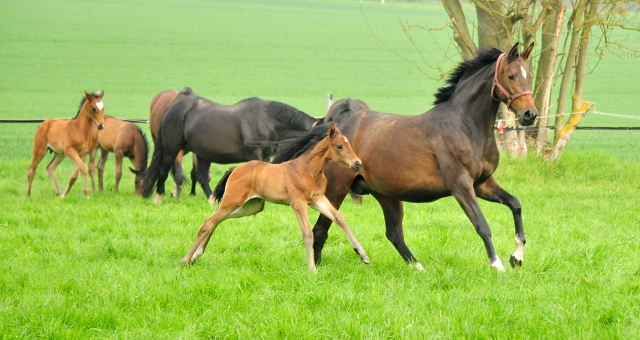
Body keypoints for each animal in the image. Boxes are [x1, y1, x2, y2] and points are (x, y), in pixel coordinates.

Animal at [141, 94, 318, 203]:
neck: (266, 119)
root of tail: (170, 109)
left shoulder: (266, 155)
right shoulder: (255, 154)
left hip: (201, 152)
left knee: (202, 176)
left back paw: (212, 200)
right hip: (172, 148)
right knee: (163, 170)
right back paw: (158, 198)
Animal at [180, 123, 370, 270]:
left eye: (349, 145)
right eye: (339, 146)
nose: (358, 164)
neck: (310, 170)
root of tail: (235, 169)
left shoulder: (317, 199)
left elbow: (340, 218)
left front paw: (363, 255)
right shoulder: (298, 203)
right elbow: (307, 233)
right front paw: (312, 269)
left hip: (252, 206)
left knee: (216, 220)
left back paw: (196, 255)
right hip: (232, 200)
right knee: (208, 223)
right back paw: (185, 260)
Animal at [312, 43, 536, 270]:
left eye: (529, 75)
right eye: (510, 76)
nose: (530, 114)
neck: (466, 126)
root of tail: (335, 132)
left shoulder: (482, 183)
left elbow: (515, 204)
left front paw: (517, 257)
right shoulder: (461, 186)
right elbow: (482, 225)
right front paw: (497, 265)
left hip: (386, 194)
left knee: (394, 233)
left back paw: (418, 268)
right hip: (336, 189)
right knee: (320, 230)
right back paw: (317, 269)